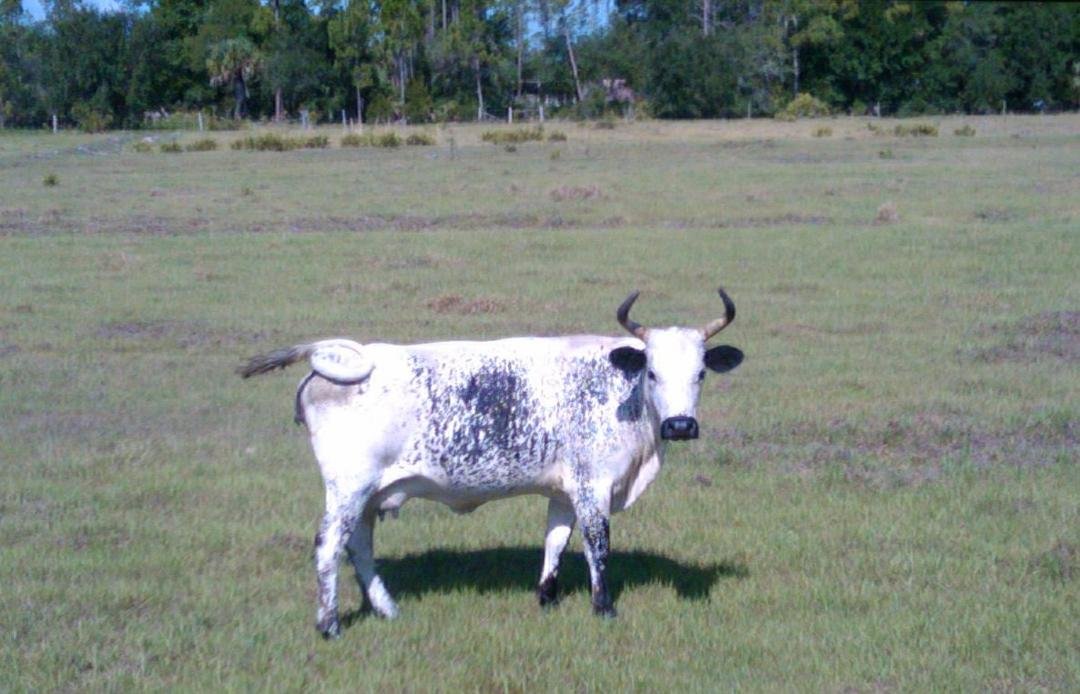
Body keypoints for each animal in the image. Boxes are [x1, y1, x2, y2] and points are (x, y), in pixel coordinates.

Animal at [241, 289, 743, 638]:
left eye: (701, 373)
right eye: (652, 372)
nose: (681, 425)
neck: (621, 390)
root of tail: (323, 367)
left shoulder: (563, 490)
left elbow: (555, 541)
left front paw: (546, 597)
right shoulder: (593, 486)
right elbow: (597, 546)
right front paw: (604, 608)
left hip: (369, 494)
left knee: (359, 547)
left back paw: (387, 609)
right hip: (349, 488)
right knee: (329, 547)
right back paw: (329, 626)